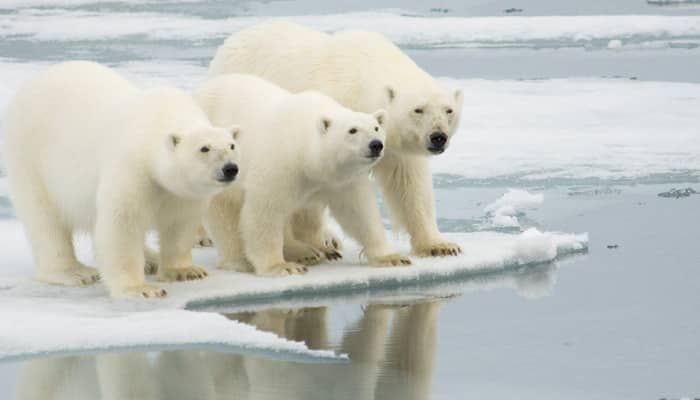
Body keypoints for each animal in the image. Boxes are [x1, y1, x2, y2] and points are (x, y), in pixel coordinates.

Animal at [2, 62, 241, 298]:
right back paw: (75, 272)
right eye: (204, 148)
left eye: (231, 145)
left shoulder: (182, 192)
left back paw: (151, 259)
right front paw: (141, 289)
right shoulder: (131, 167)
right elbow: (123, 224)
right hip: (31, 158)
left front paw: (185, 271)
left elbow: (179, 222)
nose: (230, 169)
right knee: (44, 219)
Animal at [194, 74, 410, 276]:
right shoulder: (280, 166)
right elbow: (264, 213)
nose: (376, 144)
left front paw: (392, 257)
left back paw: (314, 250)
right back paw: (240, 260)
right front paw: (280, 266)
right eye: (352, 130)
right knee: (225, 212)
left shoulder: (342, 179)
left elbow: (359, 212)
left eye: (376, 128)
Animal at [209, 21, 464, 258]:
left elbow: (409, 184)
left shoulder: (393, 146)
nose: (438, 137)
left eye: (449, 110)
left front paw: (439, 245)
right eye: (418, 110)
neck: (359, 78)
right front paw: (316, 244)